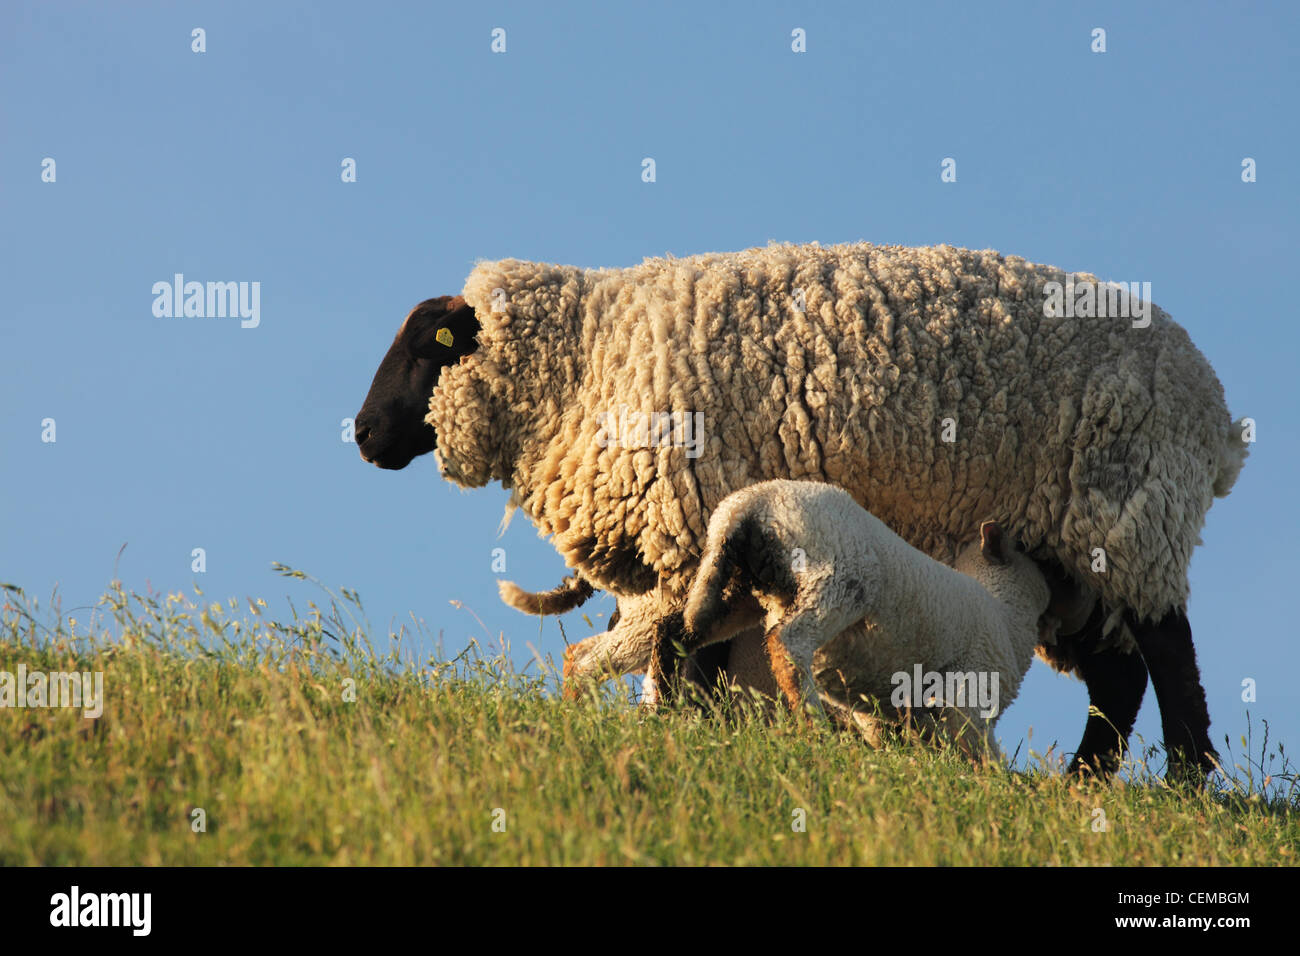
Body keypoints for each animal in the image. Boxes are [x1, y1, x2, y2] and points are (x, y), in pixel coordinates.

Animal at [676, 481, 1050, 759]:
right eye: (1024, 548)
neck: (1003, 611)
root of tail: (750, 505)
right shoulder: (969, 688)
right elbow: (978, 750)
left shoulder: (885, 707)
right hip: (838, 579)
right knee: (788, 643)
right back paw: (815, 726)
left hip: (728, 585)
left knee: (679, 632)